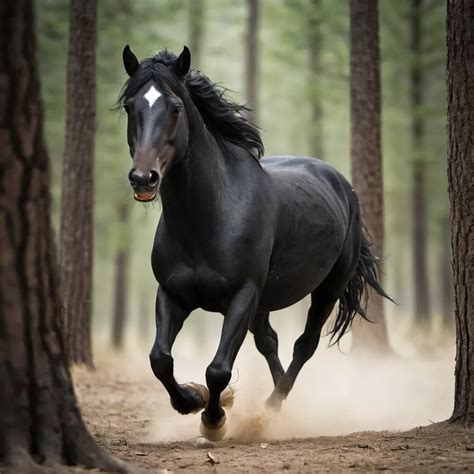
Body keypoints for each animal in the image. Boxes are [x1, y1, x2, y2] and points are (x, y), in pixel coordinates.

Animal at [117, 46, 388, 438]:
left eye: (175, 107)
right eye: (130, 106)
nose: (143, 178)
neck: (208, 219)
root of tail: (342, 185)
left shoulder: (242, 295)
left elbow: (218, 369)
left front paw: (214, 419)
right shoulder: (172, 294)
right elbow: (160, 359)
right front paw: (191, 399)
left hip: (328, 288)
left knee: (304, 345)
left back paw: (269, 410)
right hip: (265, 301)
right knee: (269, 342)